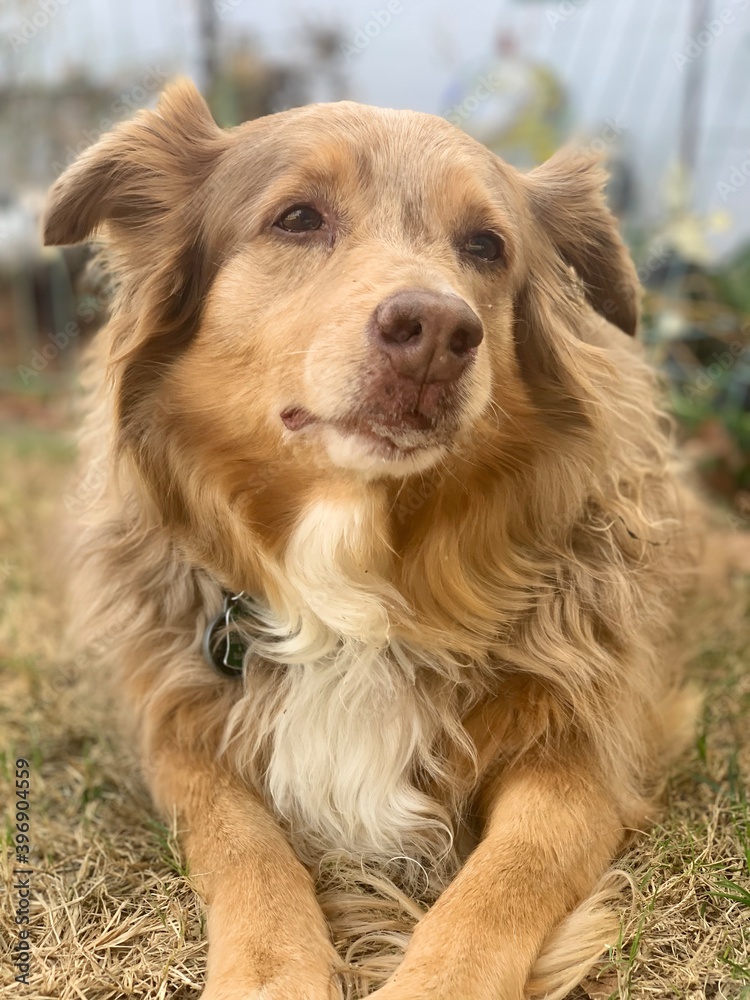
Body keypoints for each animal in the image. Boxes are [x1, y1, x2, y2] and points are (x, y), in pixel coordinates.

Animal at [45, 80, 704, 1000]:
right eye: (297, 218)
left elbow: (510, 875)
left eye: (486, 245)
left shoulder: (585, 751)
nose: (436, 331)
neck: (354, 571)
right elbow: (241, 843)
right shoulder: (182, 729)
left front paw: (437, 979)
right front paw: (270, 971)